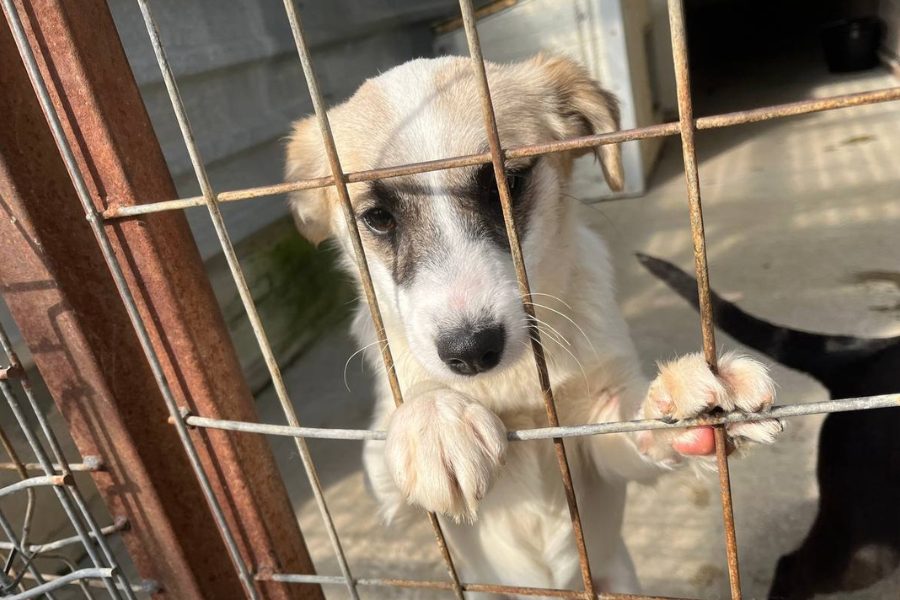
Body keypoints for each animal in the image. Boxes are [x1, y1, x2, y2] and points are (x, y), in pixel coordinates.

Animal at [285, 55, 783, 596]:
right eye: (377, 218)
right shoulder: (393, 504)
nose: (472, 350)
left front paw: (686, 394)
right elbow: (393, 430)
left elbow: (634, 423)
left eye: (510, 183)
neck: (514, 380)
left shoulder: (598, 442)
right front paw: (434, 419)